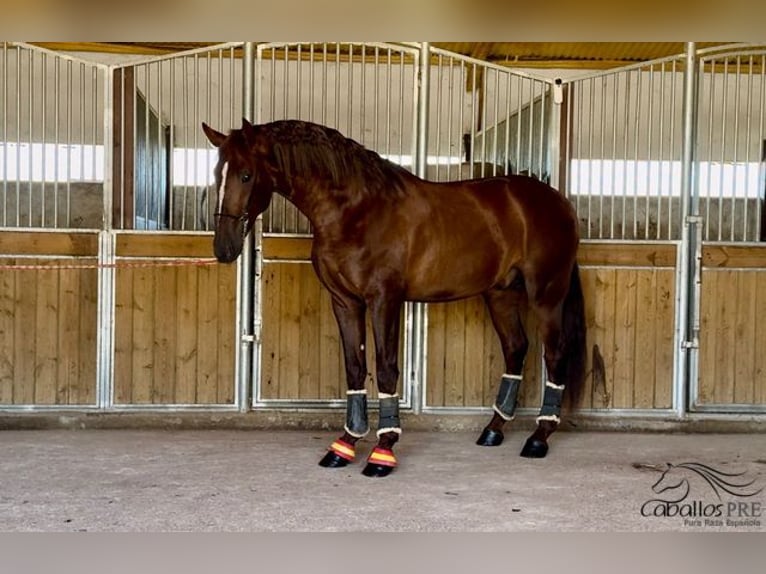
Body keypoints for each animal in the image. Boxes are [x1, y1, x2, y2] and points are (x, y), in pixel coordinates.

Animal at [204, 117, 588, 476]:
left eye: (246, 175)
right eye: (217, 172)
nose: (224, 249)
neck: (356, 210)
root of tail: (558, 202)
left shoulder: (384, 300)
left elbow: (386, 368)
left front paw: (382, 451)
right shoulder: (345, 302)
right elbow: (355, 368)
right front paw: (345, 445)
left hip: (546, 295)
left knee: (554, 354)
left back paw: (538, 438)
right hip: (501, 294)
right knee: (516, 349)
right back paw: (493, 430)